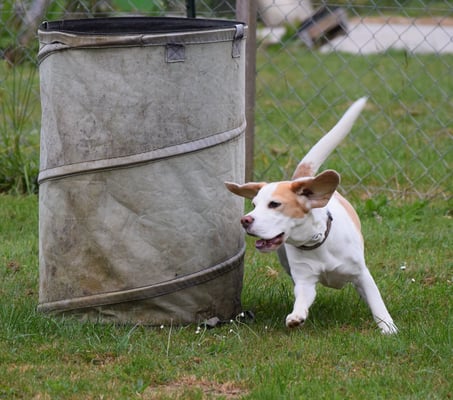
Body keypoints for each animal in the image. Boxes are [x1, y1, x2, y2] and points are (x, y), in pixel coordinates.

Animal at [225, 98, 397, 334]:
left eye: (274, 204)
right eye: (253, 204)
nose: (245, 220)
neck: (317, 243)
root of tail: (302, 178)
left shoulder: (361, 273)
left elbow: (375, 299)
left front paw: (388, 328)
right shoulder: (305, 282)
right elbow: (302, 298)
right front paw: (296, 317)